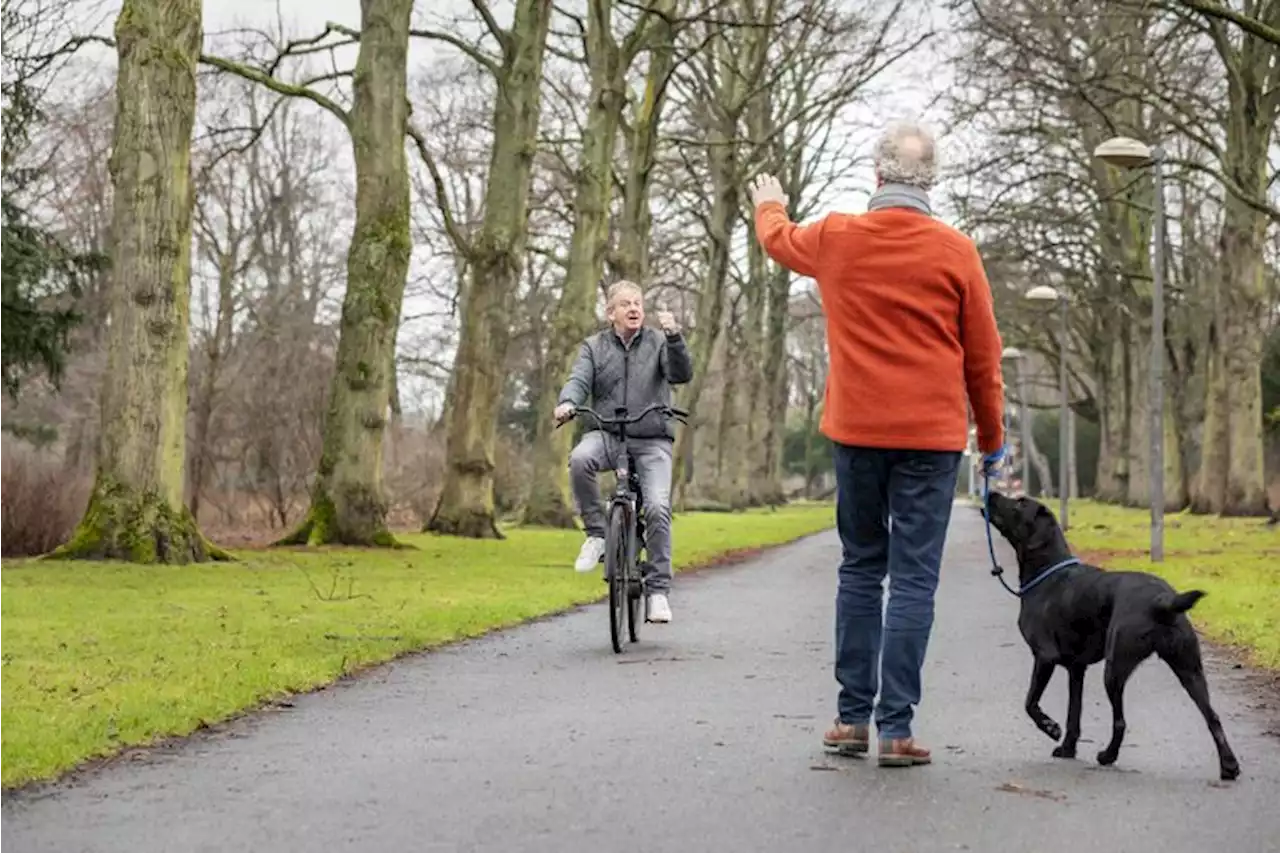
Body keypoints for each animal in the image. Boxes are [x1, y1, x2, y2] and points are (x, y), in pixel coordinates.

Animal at [977, 491, 1239, 778]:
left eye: (1021, 502)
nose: (990, 492)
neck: (1048, 571)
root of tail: (1162, 600)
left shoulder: (1045, 656)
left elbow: (1030, 703)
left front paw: (1050, 727)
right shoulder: (1076, 669)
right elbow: (1074, 713)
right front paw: (1068, 748)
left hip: (1115, 669)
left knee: (1121, 721)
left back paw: (1107, 755)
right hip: (1189, 669)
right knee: (1212, 717)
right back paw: (1229, 766)